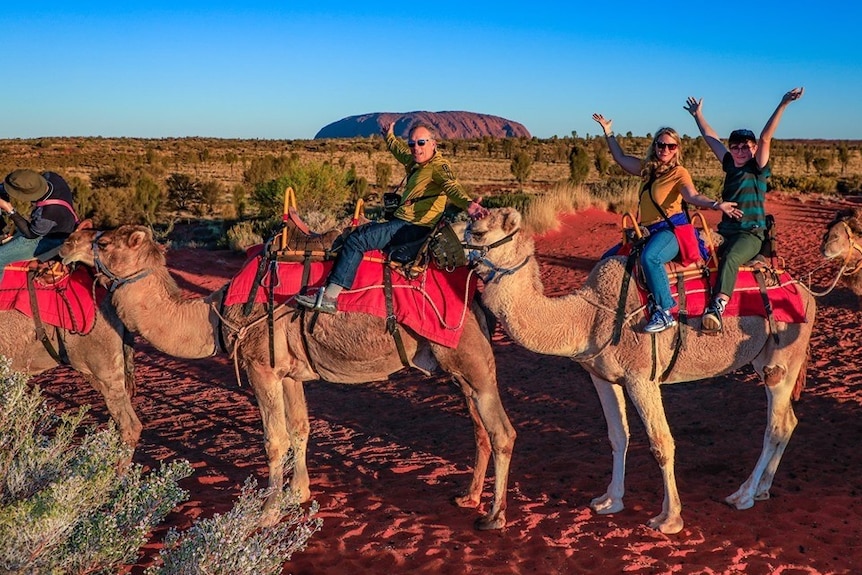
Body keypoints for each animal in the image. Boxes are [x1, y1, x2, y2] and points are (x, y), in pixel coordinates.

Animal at [60, 225, 520, 532]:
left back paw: (494, 516)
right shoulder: (287, 371)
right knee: (480, 429)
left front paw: (266, 512)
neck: (215, 312)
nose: (65, 246)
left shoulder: (260, 367)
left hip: (470, 357)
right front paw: (299, 494)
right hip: (459, 369)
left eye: (102, 241)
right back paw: (468, 497)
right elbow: (300, 428)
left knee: (502, 432)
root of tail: (473, 289)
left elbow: (273, 439)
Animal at [466, 207, 816, 536]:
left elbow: (661, 442)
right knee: (788, 421)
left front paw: (669, 518)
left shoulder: (641, 377)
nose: (455, 256)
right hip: (766, 359)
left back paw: (742, 495)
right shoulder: (602, 377)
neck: (588, 316)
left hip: (782, 361)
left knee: (775, 425)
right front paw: (610, 500)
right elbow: (617, 435)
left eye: (479, 232)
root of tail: (805, 292)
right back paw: (762, 490)